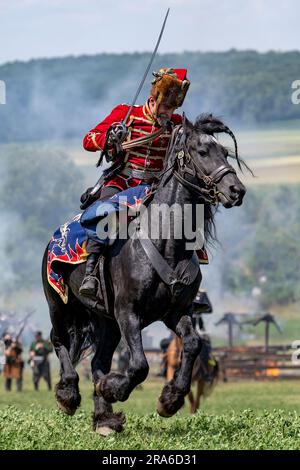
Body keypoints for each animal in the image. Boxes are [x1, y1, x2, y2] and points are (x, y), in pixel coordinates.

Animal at [42, 113, 248, 434]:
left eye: (225, 153)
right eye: (202, 151)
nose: (236, 191)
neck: (166, 241)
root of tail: (54, 239)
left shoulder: (177, 312)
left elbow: (192, 344)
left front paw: (169, 400)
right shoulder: (129, 313)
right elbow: (140, 364)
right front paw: (114, 388)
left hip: (106, 322)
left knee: (98, 361)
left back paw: (105, 419)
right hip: (60, 305)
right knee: (59, 340)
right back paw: (68, 395)